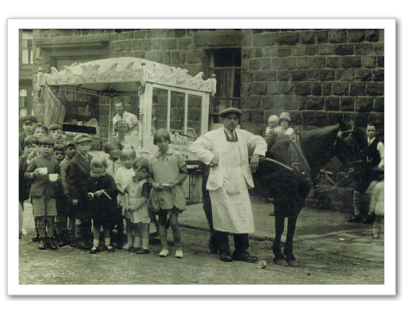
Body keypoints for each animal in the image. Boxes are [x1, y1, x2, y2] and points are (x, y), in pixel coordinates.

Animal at [253, 121, 364, 266]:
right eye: (348, 144)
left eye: (359, 145)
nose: (359, 171)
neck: (297, 156)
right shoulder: (280, 197)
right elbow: (280, 226)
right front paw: (279, 255)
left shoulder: (298, 199)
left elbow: (291, 227)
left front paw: (289, 255)